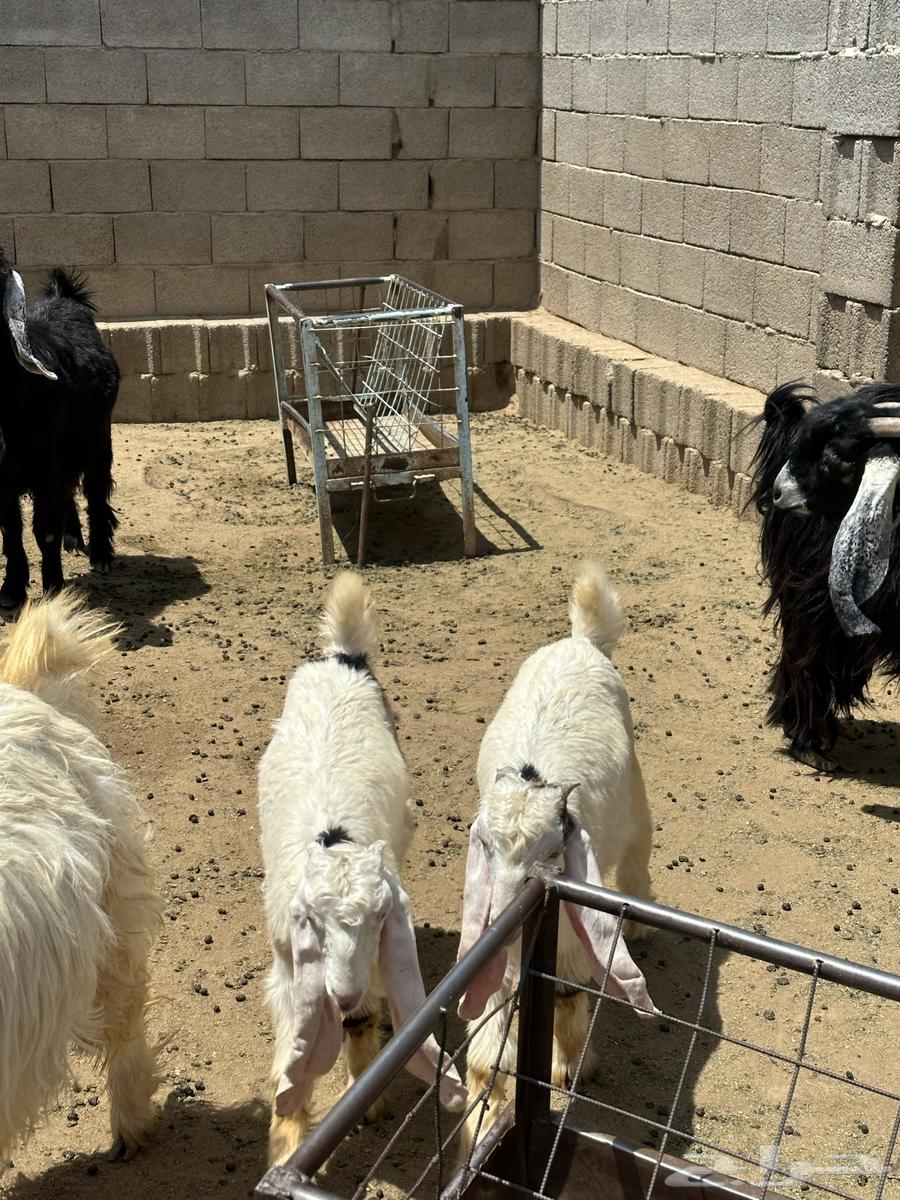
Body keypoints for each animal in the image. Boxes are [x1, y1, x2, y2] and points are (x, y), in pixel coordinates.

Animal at [0, 249, 119, 610]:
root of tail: (64, 297)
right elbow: (11, 530)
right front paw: (11, 591)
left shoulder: (45, 470)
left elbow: (44, 531)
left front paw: (53, 589)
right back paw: (74, 537)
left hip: (99, 439)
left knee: (96, 491)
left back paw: (100, 553)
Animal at [258, 572, 465, 1167]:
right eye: (313, 922)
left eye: (378, 920)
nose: (342, 991)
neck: (335, 840)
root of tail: (343, 659)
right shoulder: (290, 968)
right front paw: (286, 1145)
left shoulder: (370, 967)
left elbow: (362, 1019)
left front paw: (365, 1101)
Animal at [456, 562, 657, 1149]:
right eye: (484, 846)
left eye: (551, 851)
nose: (500, 913)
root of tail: (582, 640)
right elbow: (488, 1045)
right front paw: (481, 1124)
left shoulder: (567, 930)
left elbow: (565, 995)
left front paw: (571, 1069)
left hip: (636, 792)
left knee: (638, 854)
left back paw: (640, 921)